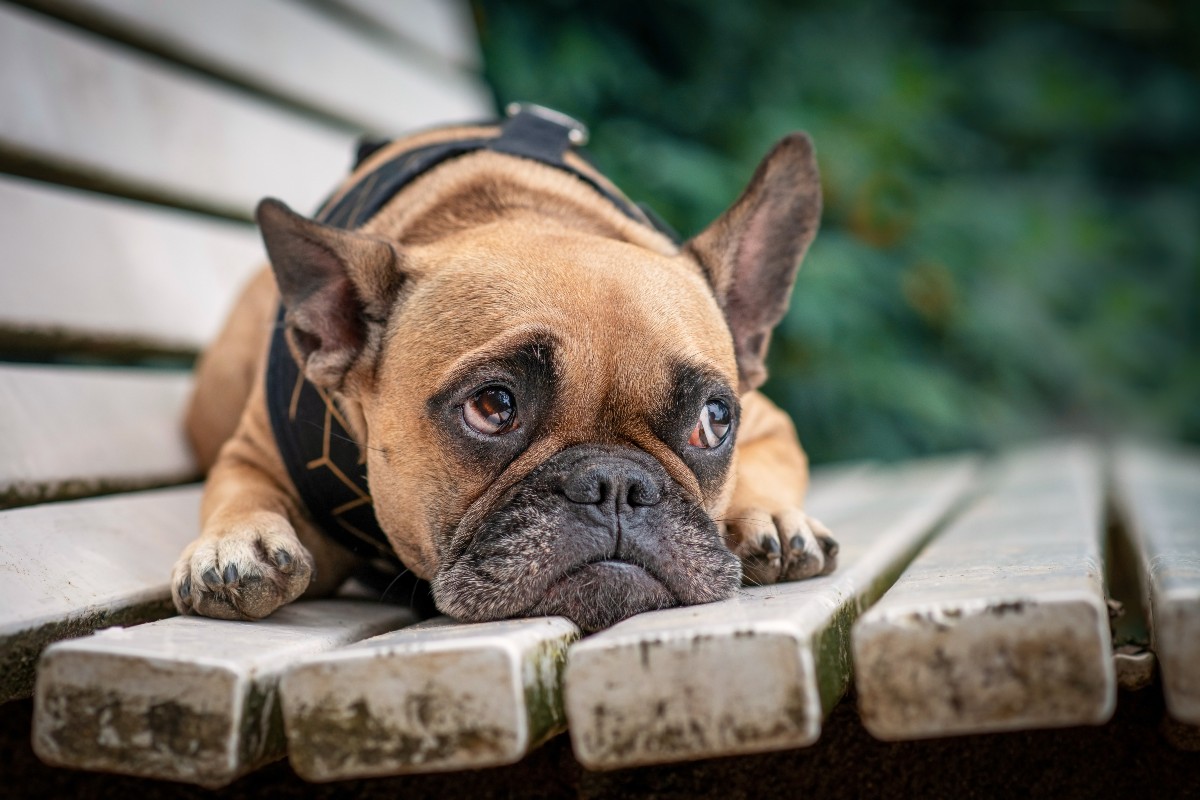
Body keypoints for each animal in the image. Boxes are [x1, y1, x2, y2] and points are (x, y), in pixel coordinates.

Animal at [174, 106, 835, 633]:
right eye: (493, 406)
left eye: (714, 421)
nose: (616, 484)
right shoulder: (254, 451)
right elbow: (240, 487)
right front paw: (236, 541)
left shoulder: (768, 421)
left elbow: (768, 464)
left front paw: (773, 515)